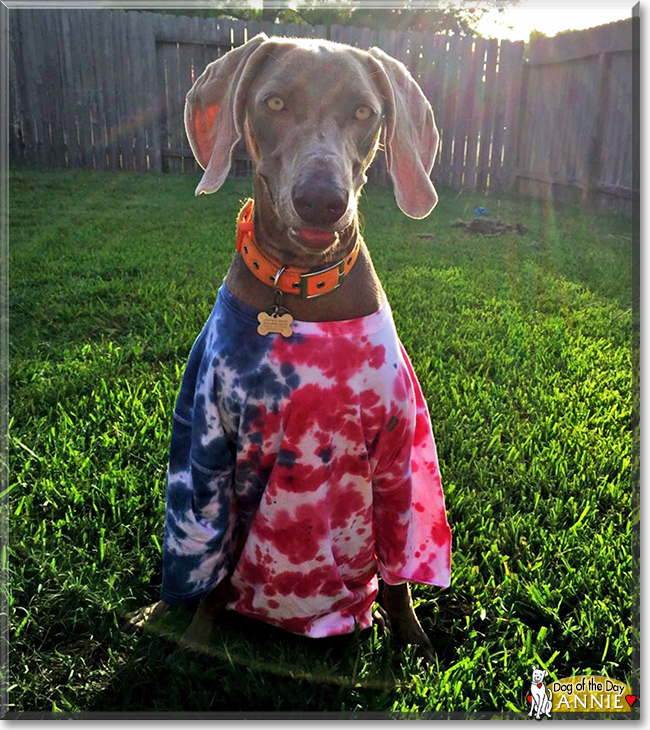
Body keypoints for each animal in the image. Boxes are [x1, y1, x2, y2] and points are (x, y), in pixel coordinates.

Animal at [129, 35, 448, 664]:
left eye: (364, 112)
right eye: (274, 102)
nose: (321, 201)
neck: (296, 286)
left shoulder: (398, 454)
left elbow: (398, 574)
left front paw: (411, 639)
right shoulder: (212, 453)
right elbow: (215, 572)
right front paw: (196, 643)